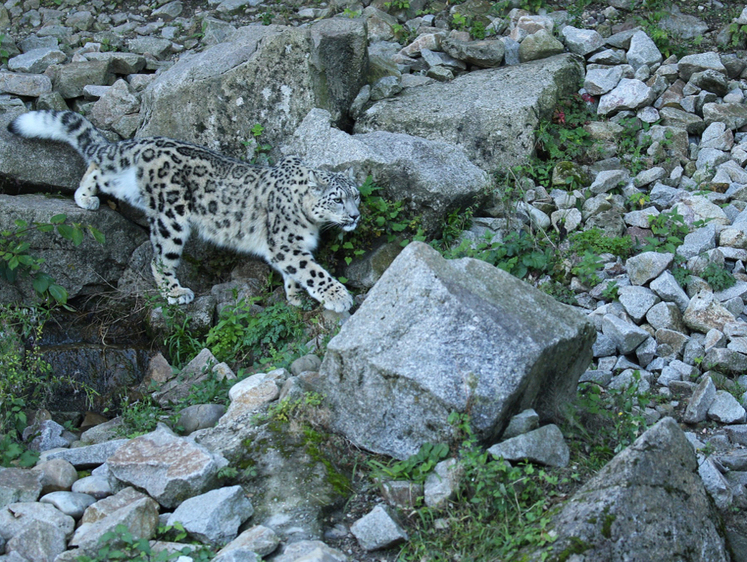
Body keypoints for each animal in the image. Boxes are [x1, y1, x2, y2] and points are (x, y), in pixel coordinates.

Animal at [8, 109, 362, 310]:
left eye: (356, 196)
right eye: (337, 198)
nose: (356, 215)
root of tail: (143, 142)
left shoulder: (289, 247)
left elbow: (296, 272)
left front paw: (297, 298)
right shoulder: (286, 244)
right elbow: (310, 270)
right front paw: (337, 297)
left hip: (125, 184)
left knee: (99, 166)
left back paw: (85, 196)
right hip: (171, 217)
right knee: (159, 259)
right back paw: (176, 292)